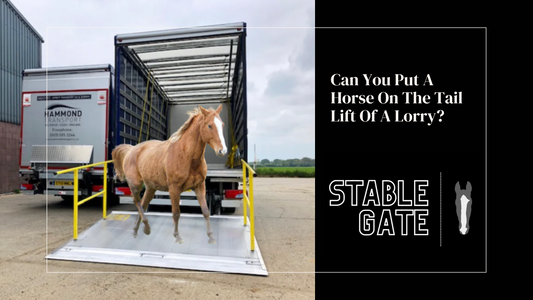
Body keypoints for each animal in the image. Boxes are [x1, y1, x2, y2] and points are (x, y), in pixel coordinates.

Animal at [112, 103, 227, 244]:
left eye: (222, 125)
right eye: (209, 125)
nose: (223, 150)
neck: (186, 155)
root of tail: (131, 149)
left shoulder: (199, 187)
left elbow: (205, 211)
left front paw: (211, 237)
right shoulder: (174, 188)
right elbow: (176, 213)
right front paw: (177, 236)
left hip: (150, 187)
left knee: (143, 204)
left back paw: (137, 230)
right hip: (135, 184)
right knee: (137, 201)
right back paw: (146, 227)